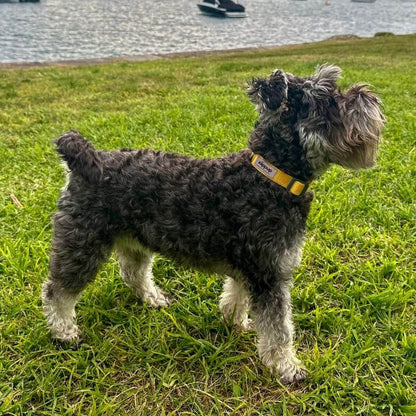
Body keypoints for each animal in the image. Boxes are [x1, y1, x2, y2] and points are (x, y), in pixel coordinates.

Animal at [41, 64, 384, 384]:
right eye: (327, 99)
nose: (371, 97)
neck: (269, 175)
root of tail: (85, 161)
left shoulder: (251, 267)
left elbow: (237, 296)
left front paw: (236, 322)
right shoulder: (269, 273)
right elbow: (279, 328)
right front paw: (286, 366)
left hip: (133, 240)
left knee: (133, 273)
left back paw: (153, 298)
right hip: (82, 243)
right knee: (57, 290)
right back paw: (64, 332)